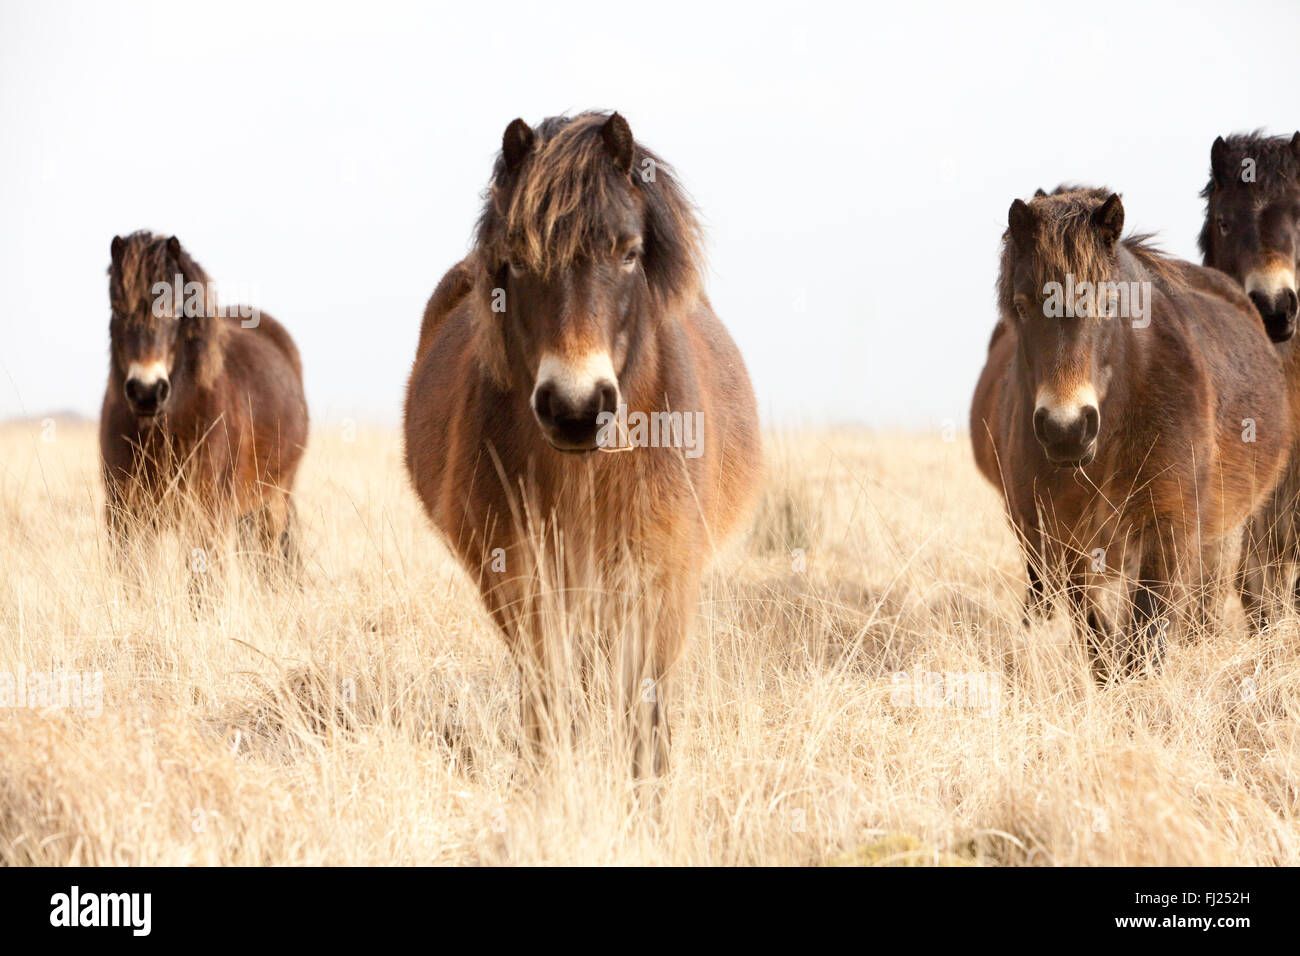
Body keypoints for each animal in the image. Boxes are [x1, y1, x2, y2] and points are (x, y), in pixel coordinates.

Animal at [100, 232, 309, 573]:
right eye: (116, 306)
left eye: (174, 307)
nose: (146, 391)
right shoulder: (123, 516)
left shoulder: (204, 515)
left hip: (274, 500)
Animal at [402, 112, 762, 776]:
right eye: (517, 259)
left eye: (629, 253)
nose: (575, 410)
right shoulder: (524, 586)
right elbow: (549, 715)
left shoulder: (661, 584)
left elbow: (645, 726)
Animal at [971, 186, 1288, 679]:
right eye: (1021, 307)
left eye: (1107, 303)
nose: (1066, 430)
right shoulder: (1067, 544)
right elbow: (1100, 639)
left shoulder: (1168, 533)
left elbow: (1145, 641)